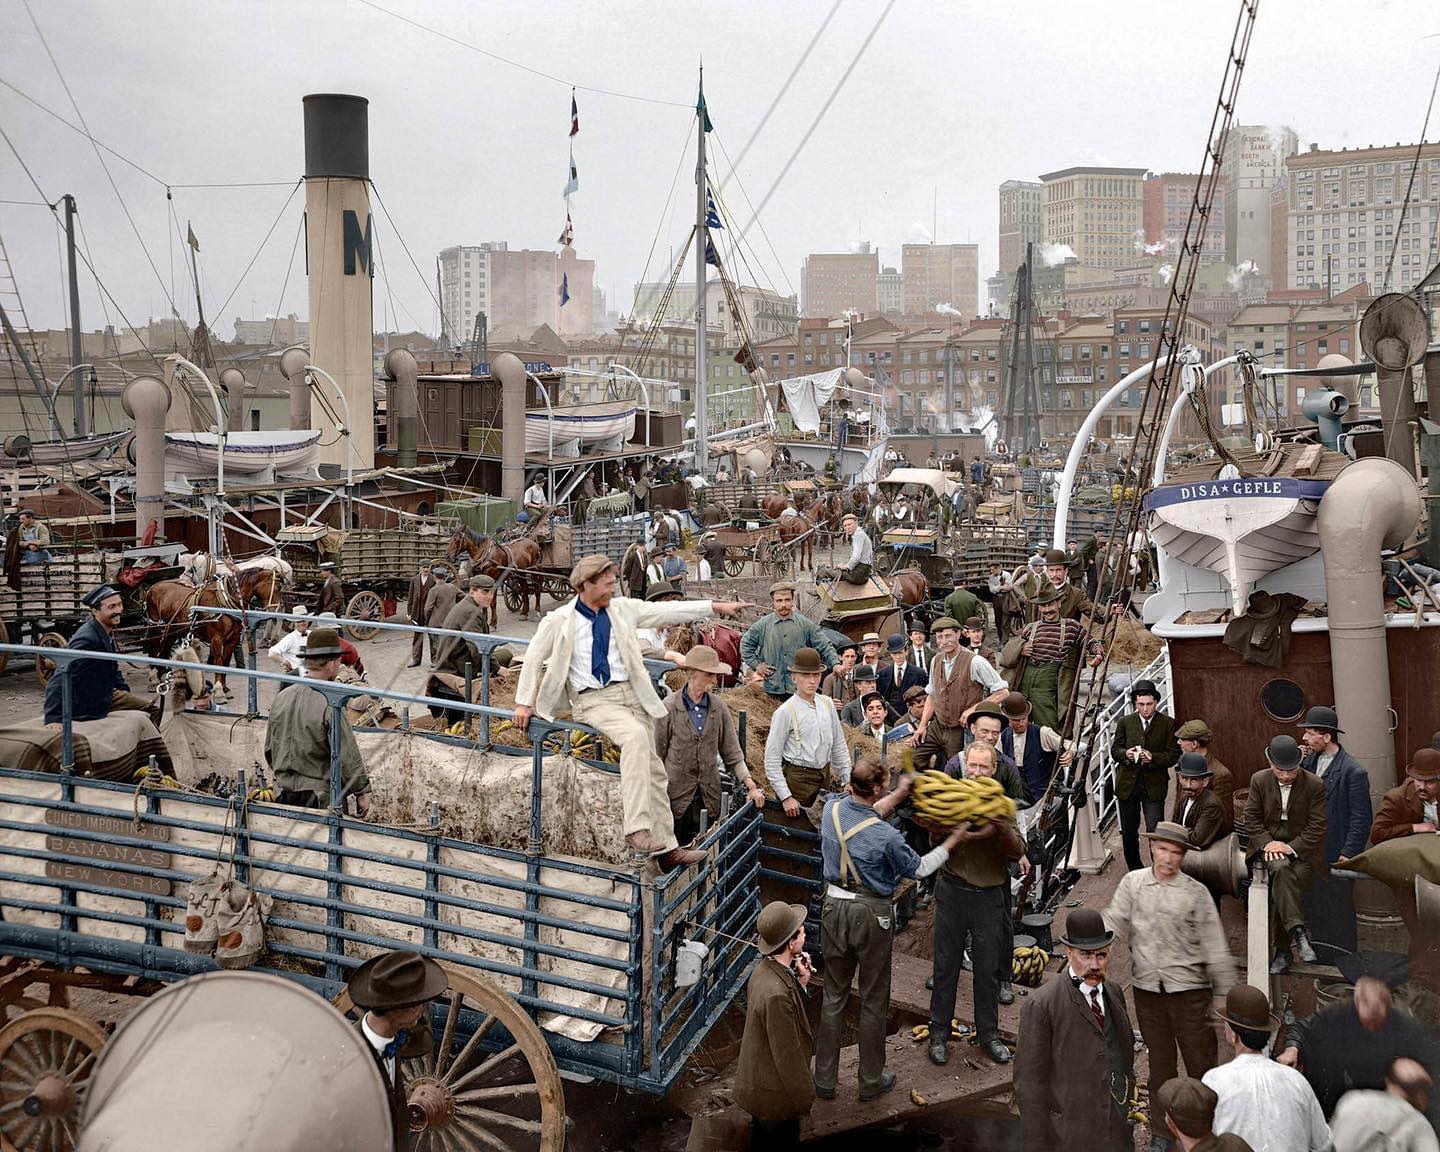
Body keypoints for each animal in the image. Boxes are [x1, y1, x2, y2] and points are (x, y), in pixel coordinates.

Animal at [143, 570, 286, 702]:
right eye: (277, 587)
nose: (275, 611)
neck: (224, 602)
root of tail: (152, 587)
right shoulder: (216, 639)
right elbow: (218, 661)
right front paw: (219, 692)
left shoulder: (232, 639)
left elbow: (225, 663)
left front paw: (224, 688)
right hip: (156, 627)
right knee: (153, 648)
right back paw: (154, 679)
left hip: (171, 630)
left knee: (163, 649)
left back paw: (162, 676)